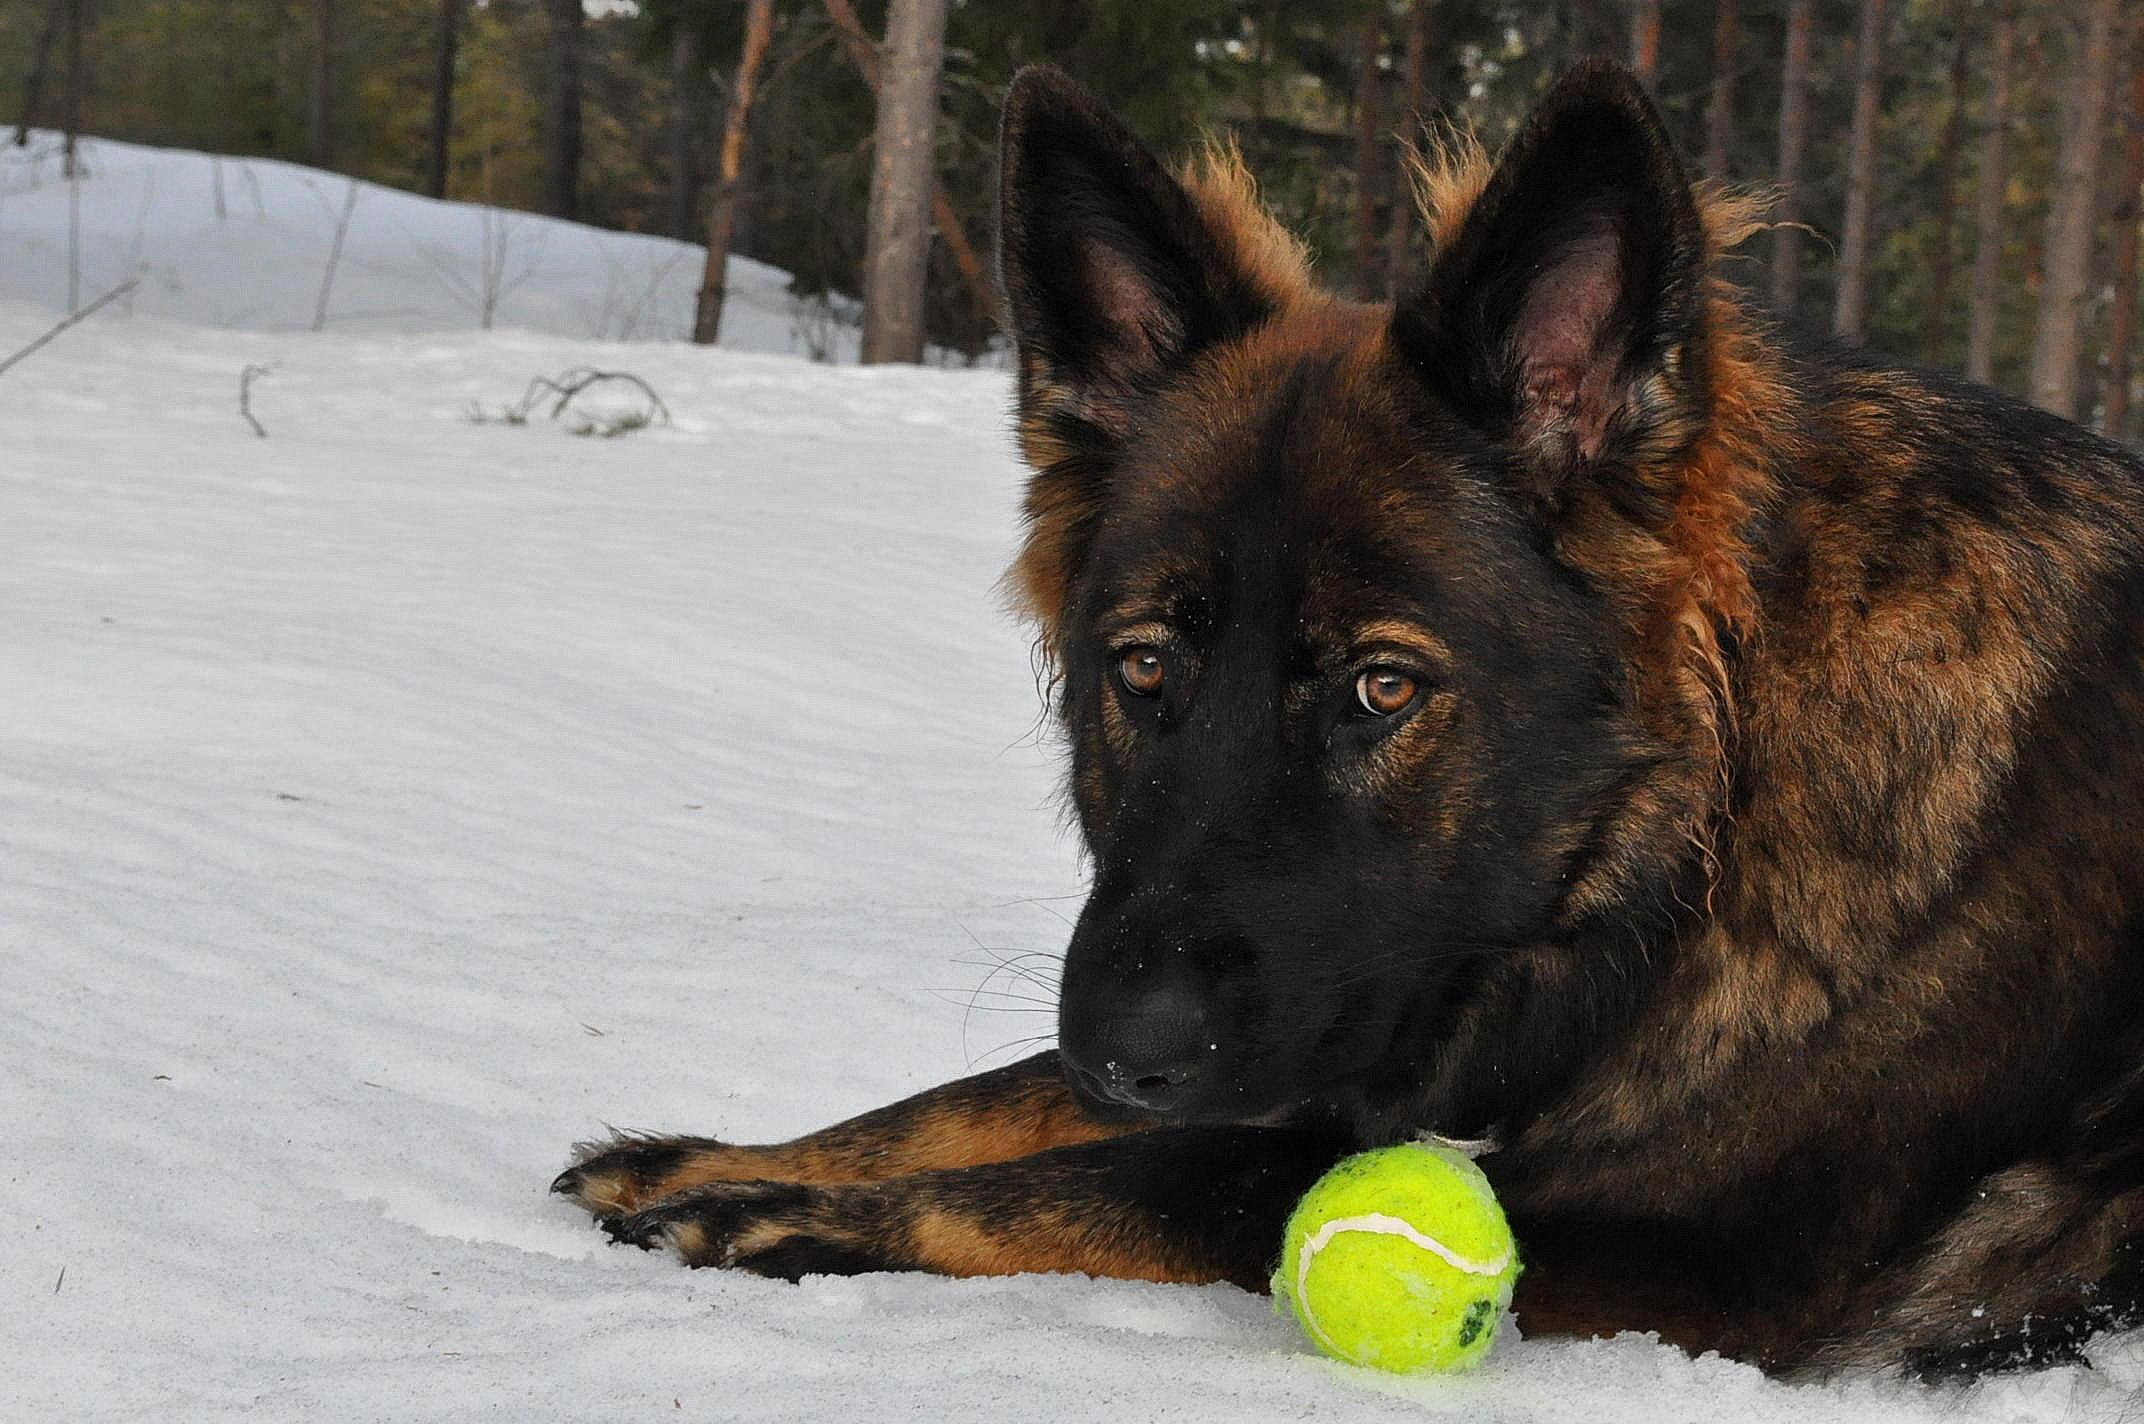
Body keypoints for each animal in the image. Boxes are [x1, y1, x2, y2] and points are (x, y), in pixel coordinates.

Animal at [554, 60, 2144, 1377]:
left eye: (1385, 687)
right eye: (1145, 668)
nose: (1121, 1046)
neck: (1700, 827)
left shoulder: (1705, 1246)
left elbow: (1179, 1179)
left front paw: (788, 1215)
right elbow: (983, 1095)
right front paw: (725, 1155)